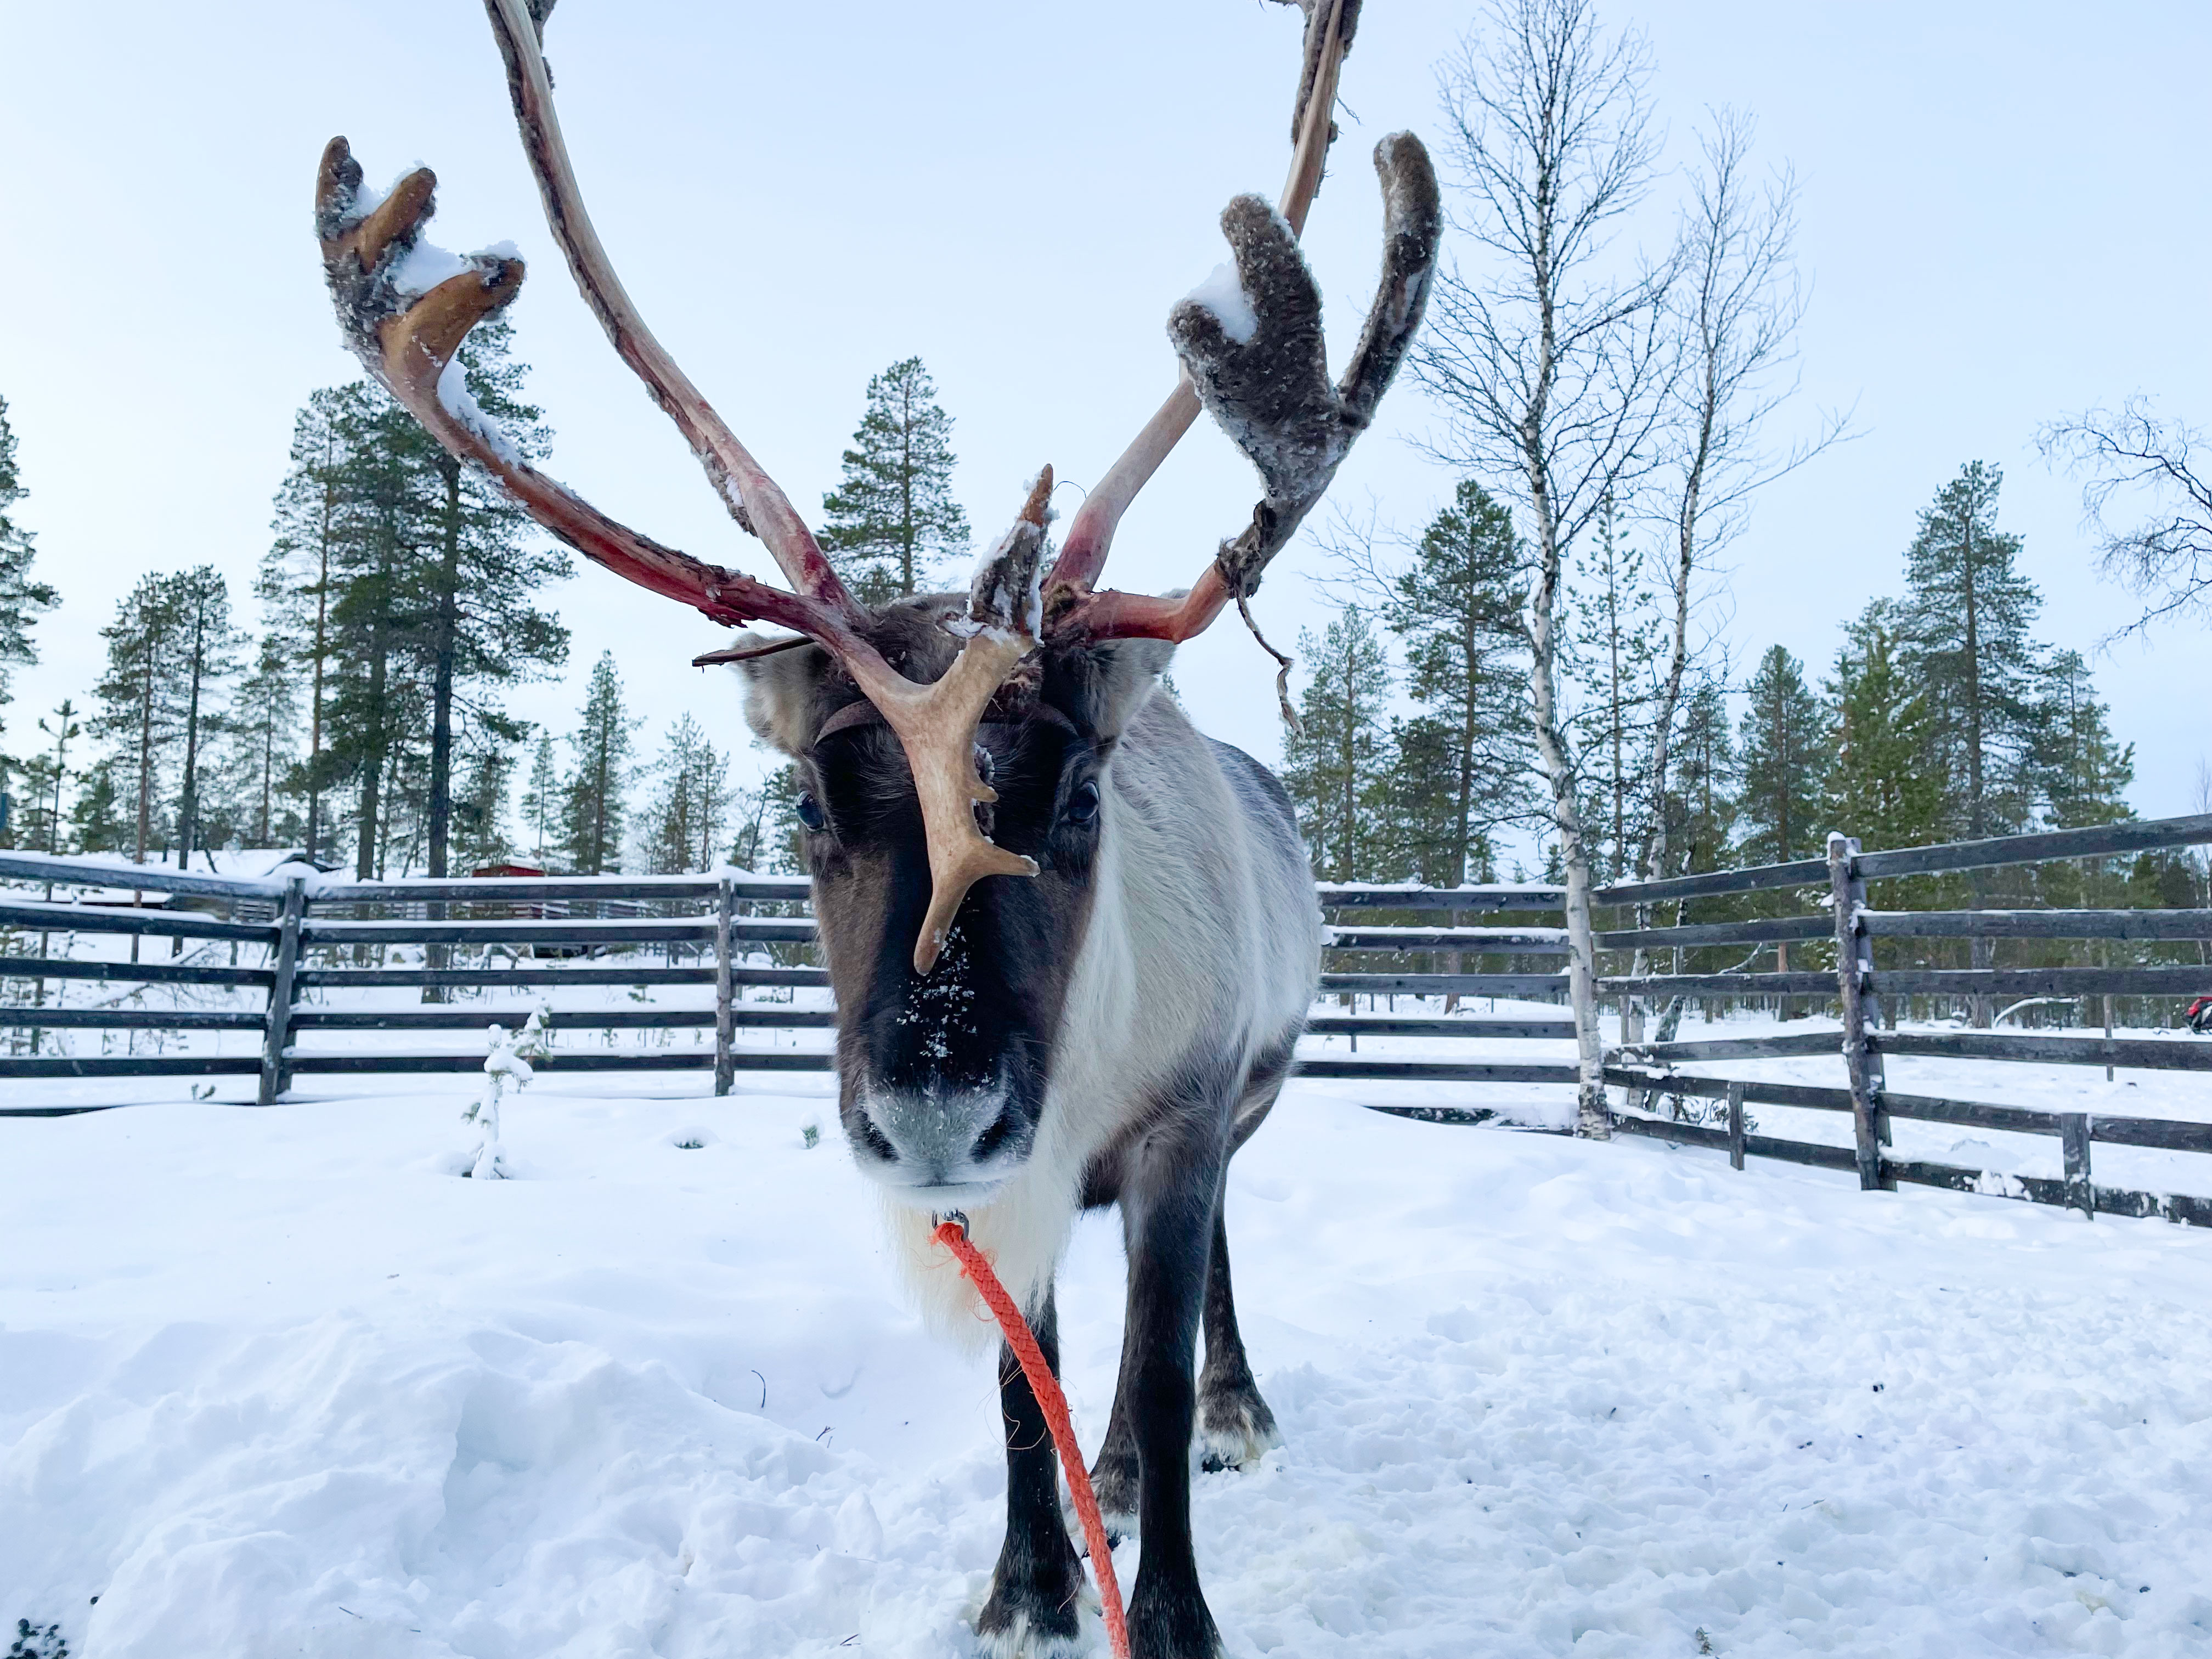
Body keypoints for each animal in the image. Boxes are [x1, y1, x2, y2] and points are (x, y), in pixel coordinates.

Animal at [311, 1, 1436, 1652]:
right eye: (805, 802)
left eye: (1078, 793)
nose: (933, 1110)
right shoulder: (1011, 1188)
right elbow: (1022, 1395)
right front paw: (1029, 1586)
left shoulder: (1175, 1121)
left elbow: (1159, 1367)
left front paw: (1168, 1611)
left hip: (1251, 1093)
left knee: (1204, 1300)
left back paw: (1233, 1413)